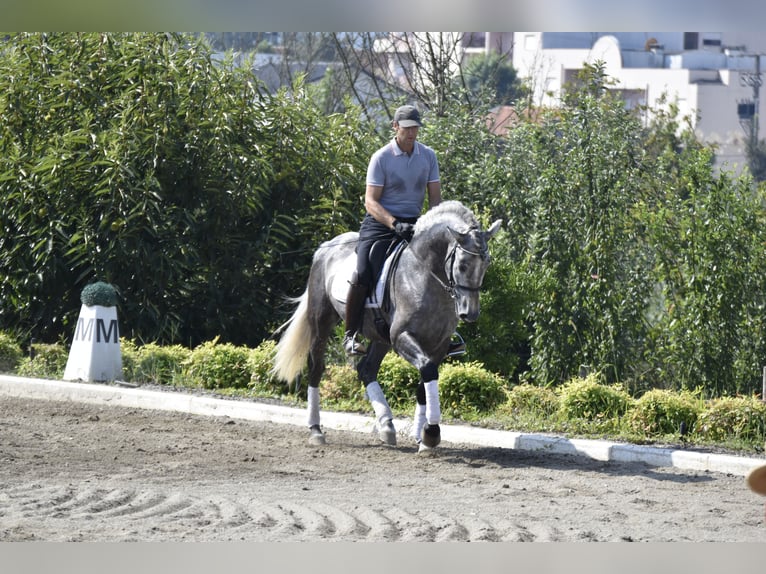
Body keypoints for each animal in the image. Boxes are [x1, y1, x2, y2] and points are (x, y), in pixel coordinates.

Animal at [271, 200, 502, 451]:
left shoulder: (438, 345)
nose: (470, 313)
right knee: (316, 367)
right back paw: (316, 430)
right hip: (322, 321)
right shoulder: (401, 337)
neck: (425, 274)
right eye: (462, 265)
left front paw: (423, 438)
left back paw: (386, 425)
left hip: (379, 336)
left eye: (486, 264)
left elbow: (425, 380)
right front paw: (431, 433)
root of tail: (324, 247)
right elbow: (427, 369)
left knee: (366, 369)